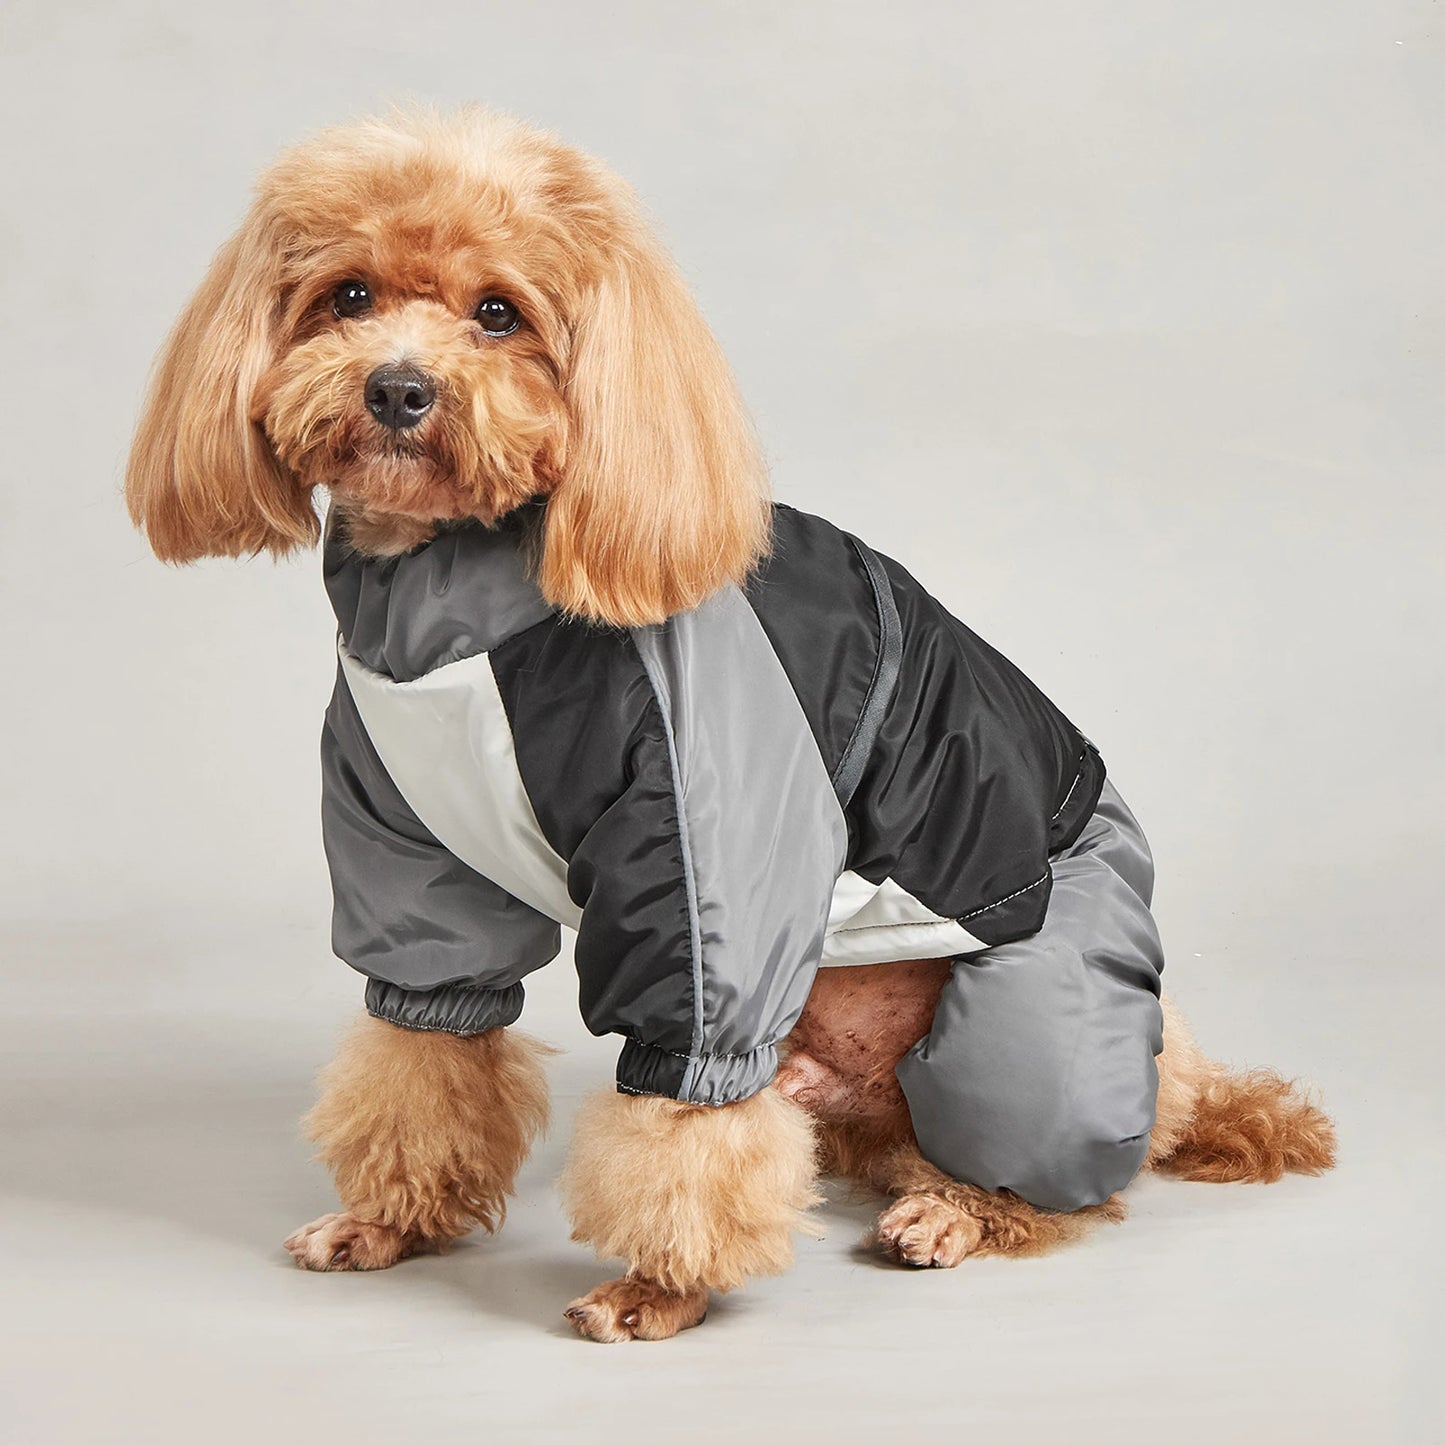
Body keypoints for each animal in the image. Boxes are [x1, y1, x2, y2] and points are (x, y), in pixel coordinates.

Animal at [130, 104, 1335, 1340]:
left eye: (498, 312)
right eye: (350, 296)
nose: (398, 390)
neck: (451, 594)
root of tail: (1186, 1075)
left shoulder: (707, 860)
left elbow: (686, 1098)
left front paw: (659, 1285)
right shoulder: (408, 857)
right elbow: (424, 1039)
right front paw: (391, 1219)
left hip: (1041, 1023)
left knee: (1059, 1170)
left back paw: (955, 1210)